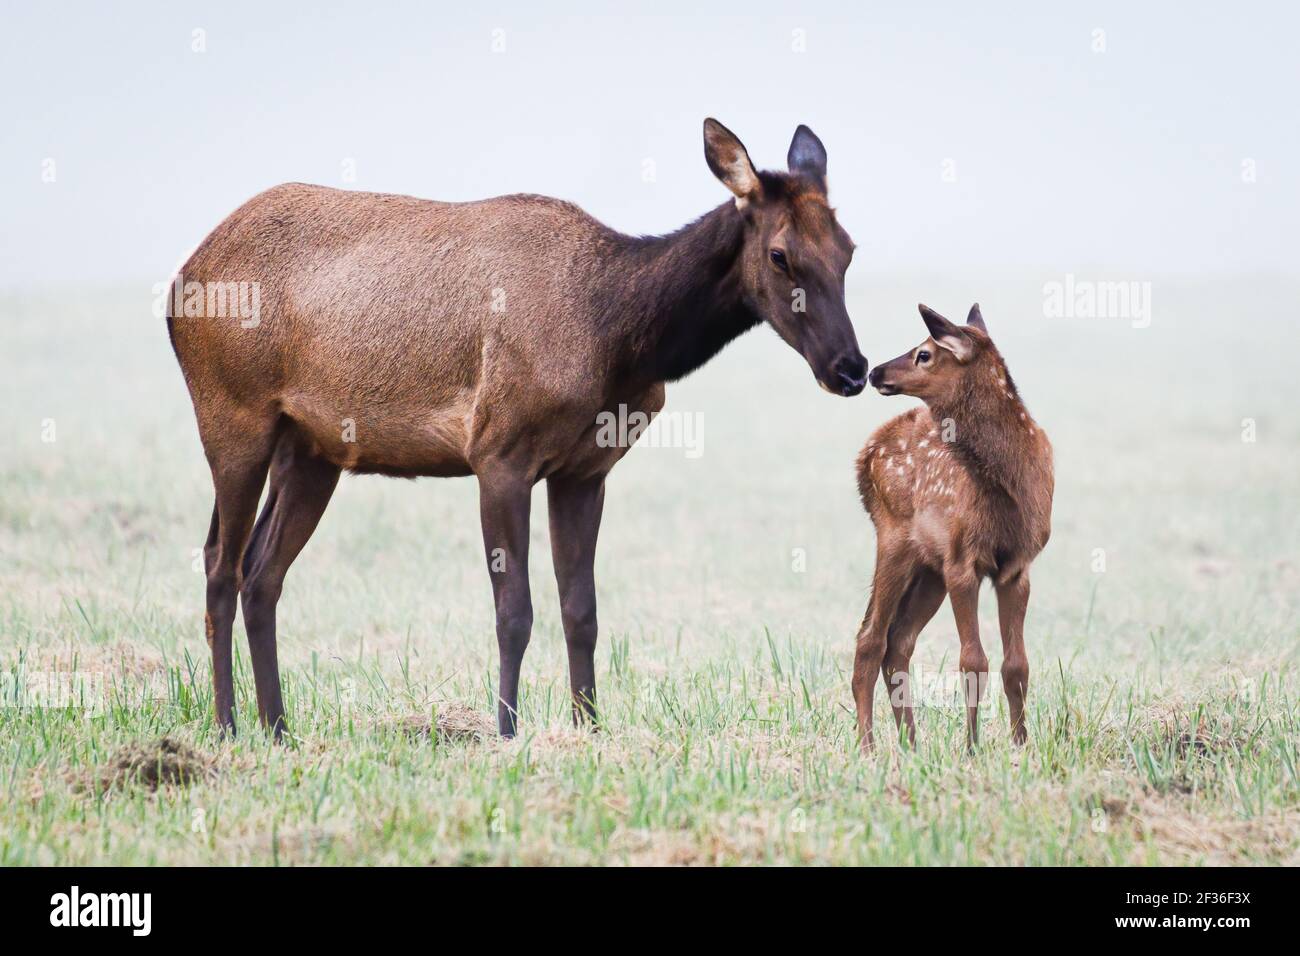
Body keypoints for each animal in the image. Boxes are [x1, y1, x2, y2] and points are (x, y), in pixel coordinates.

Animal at [170, 117, 863, 738]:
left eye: (849, 250)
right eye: (780, 255)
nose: (851, 369)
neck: (617, 338)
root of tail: (180, 283)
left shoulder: (586, 470)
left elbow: (581, 611)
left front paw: (589, 728)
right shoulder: (498, 452)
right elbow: (515, 612)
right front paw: (505, 730)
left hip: (313, 448)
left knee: (263, 572)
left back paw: (279, 728)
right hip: (231, 413)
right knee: (219, 563)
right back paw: (228, 725)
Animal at [852, 306, 1055, 754]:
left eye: (924, 353)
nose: (874, 371)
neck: (1011, 488)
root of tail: (865, 455)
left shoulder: (1017, 566)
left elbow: (1017, 664)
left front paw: (1020, 745)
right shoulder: (964, 559)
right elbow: (972, 660)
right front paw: (973, 749)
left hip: (930, 568)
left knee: (898, 644)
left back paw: (911, 744)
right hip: (893, 538)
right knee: (870, 638)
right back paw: (869, 748)